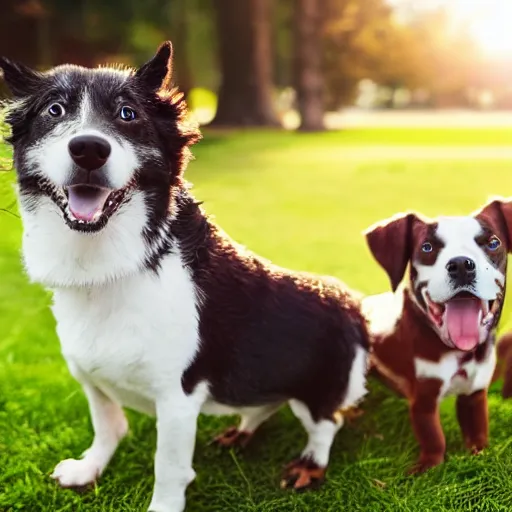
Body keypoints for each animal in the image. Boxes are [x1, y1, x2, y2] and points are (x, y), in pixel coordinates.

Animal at [0, 44, 368, 512]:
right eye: (54, 109)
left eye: (127, 113)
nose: (88, 149)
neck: (119, 261)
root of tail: (354, 304)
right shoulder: (88, 373)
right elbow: (107, 425)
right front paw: (89, 468)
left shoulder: (177, 398)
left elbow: (169, 468)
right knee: (262, 404)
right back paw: (241, 430)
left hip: (316, 385)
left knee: (326, 423)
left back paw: (309, 463)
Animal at [362, 198, 510, 474]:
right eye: (427, 247)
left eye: (493, 242)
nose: (461, 265)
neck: (459, 353)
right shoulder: (423, 399)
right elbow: (434, 438)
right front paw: (427, 468)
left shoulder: (474, 393)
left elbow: (478, 432)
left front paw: (481, 457)